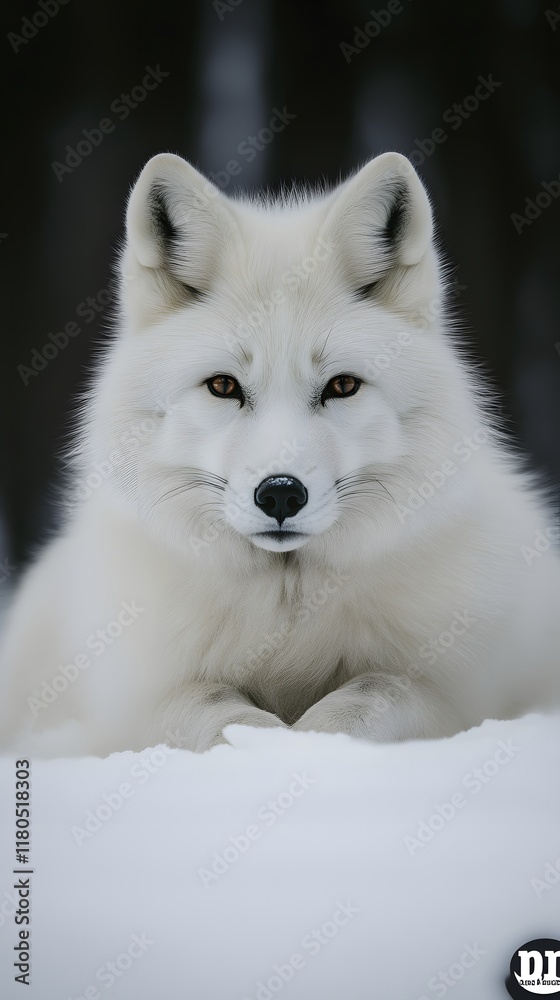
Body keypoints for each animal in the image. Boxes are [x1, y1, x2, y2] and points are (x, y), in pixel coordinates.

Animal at [0, 150, 559, 756]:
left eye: (342, 386)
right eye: (223, 386)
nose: (281, 494)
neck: (288, 615)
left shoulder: (456, 691)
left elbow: (372, 692)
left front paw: (307, 748)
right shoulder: (138, 703)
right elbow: (215, 709)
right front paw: (270, 749)